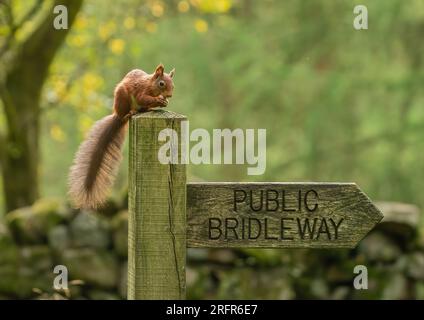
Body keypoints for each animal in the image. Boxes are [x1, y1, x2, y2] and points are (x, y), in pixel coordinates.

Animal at [68, 64, 175, 210]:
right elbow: (143, 98)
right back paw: (131, 113)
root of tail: (117, 116)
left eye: (173, 85)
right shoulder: (140, 90)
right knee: (126, 112)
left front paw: (164, 101)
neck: (149, 84)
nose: (169, 95)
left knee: (142, 109)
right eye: (162, 83)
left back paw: (146, 110)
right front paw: (159, 99)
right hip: (122, 97)